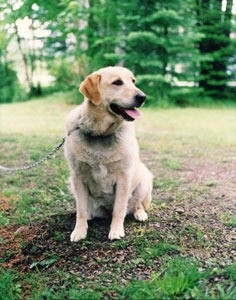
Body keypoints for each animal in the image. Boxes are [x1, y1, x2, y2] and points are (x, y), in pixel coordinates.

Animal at [64, 67, 153, 240]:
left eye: (133, 81)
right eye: (117, 82)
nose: (143, 97)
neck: (101, 133)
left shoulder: (123, 178)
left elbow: (119, 209)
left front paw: (116, 231)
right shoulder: (78, 177)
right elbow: (81, 210)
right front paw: (79, 231)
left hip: (144, 181)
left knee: (137, 205)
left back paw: (140, 214)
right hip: (72, 183)